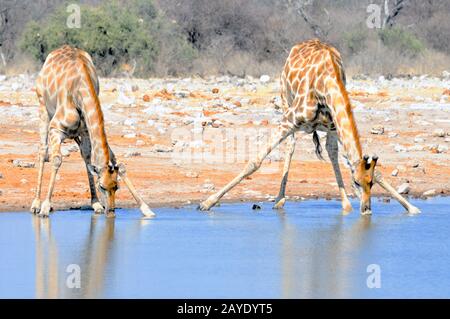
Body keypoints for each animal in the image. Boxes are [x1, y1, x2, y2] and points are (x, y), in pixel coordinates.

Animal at [30, 45, 155, 219]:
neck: (79, 90)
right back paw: (36, 204)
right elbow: (56, 160)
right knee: (43, 151)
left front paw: (145, 208)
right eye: (102, 186)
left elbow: (108, 161)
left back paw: (95, 203)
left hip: (77, 133)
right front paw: (45, 207)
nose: (111, 212)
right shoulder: (56, 128)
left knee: (85, 156)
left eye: (116, 187)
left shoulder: (86, 131)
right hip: (43, 109)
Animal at [199, 39, 420, 215]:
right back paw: (279, 200)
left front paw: (412, 208)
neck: (326, 84)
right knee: (290, 147)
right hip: (285, 103)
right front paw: (207, 203)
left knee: (327, 153)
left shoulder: (333, 127)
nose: (366, 210)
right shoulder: (289, 119)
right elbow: (255, 162)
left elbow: (339, 157)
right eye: (356, 182)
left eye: (370, 183)